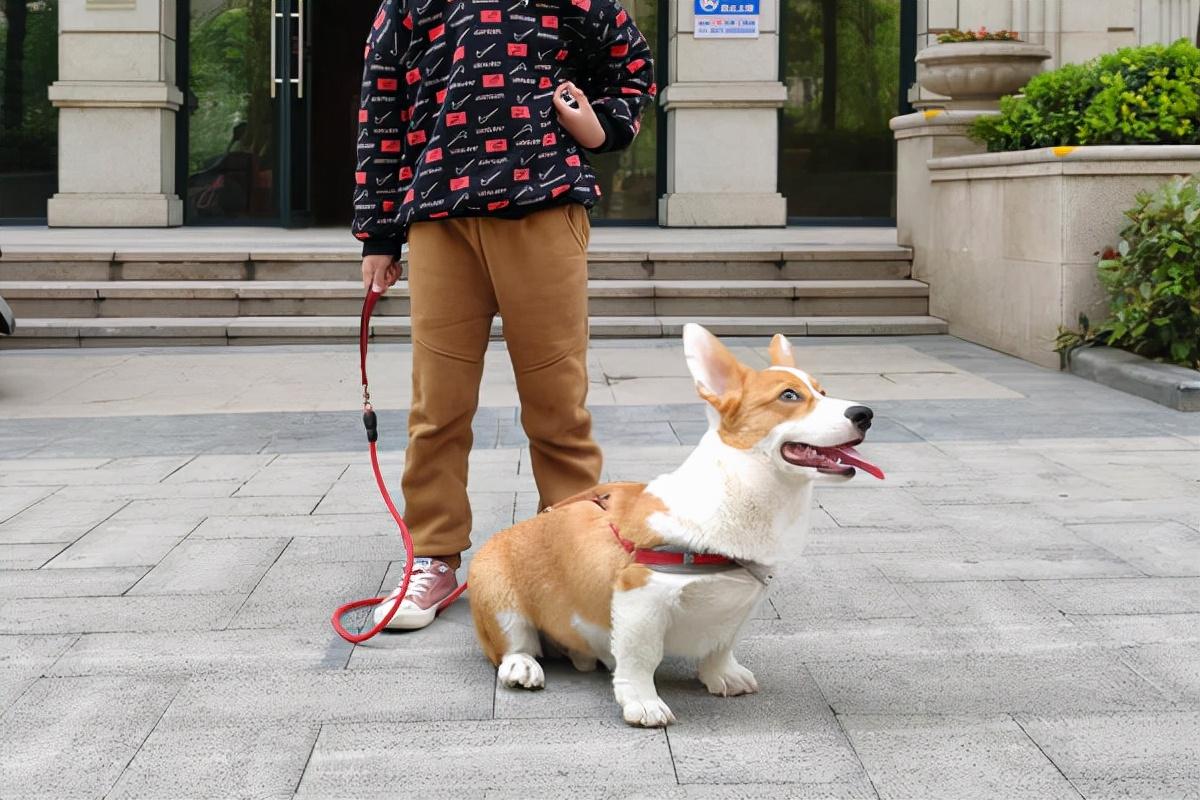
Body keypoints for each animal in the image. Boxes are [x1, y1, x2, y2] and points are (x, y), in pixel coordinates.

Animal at [468, 323, 883, 724]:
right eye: (789, 396)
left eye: (822, 391)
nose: (865, 414)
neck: (741, 493)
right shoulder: (641, 594)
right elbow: (640, 659)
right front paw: (644, 705)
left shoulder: (741, 605)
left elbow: (722, 646)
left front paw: (723, 676)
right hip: (499, 598)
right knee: (513, 646)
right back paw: (522, 667)